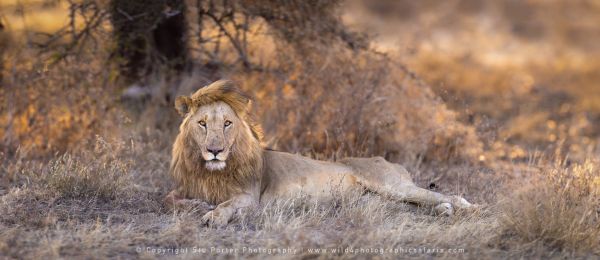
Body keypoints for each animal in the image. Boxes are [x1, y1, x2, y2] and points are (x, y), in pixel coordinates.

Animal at [165, 80, 474, 226]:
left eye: (228, 123)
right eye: (202, 124)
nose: (214, 151)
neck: (211, 172)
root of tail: (389, 161)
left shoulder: (250, 197)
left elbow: (227, 205)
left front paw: (214, 216)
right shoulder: (185, 188)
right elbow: (171, 200)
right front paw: (198, 206)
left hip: (392, 186)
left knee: (448, 195)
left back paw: (467, 208)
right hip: (377, 202)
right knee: (417, 206)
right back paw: (444, 212)